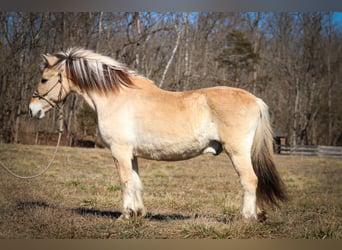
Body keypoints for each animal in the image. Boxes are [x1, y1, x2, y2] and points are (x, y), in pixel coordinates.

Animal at [28, 47, 286, 222]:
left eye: (44, 79)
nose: (32, 109)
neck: (116, 98)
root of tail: (254, 99)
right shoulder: (131, 154)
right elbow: (136, 182)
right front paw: (138, 213)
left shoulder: (119, 151)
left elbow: (125, 181)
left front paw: (125, 215)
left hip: (238, 152)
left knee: (250, 180)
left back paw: (247, 218)